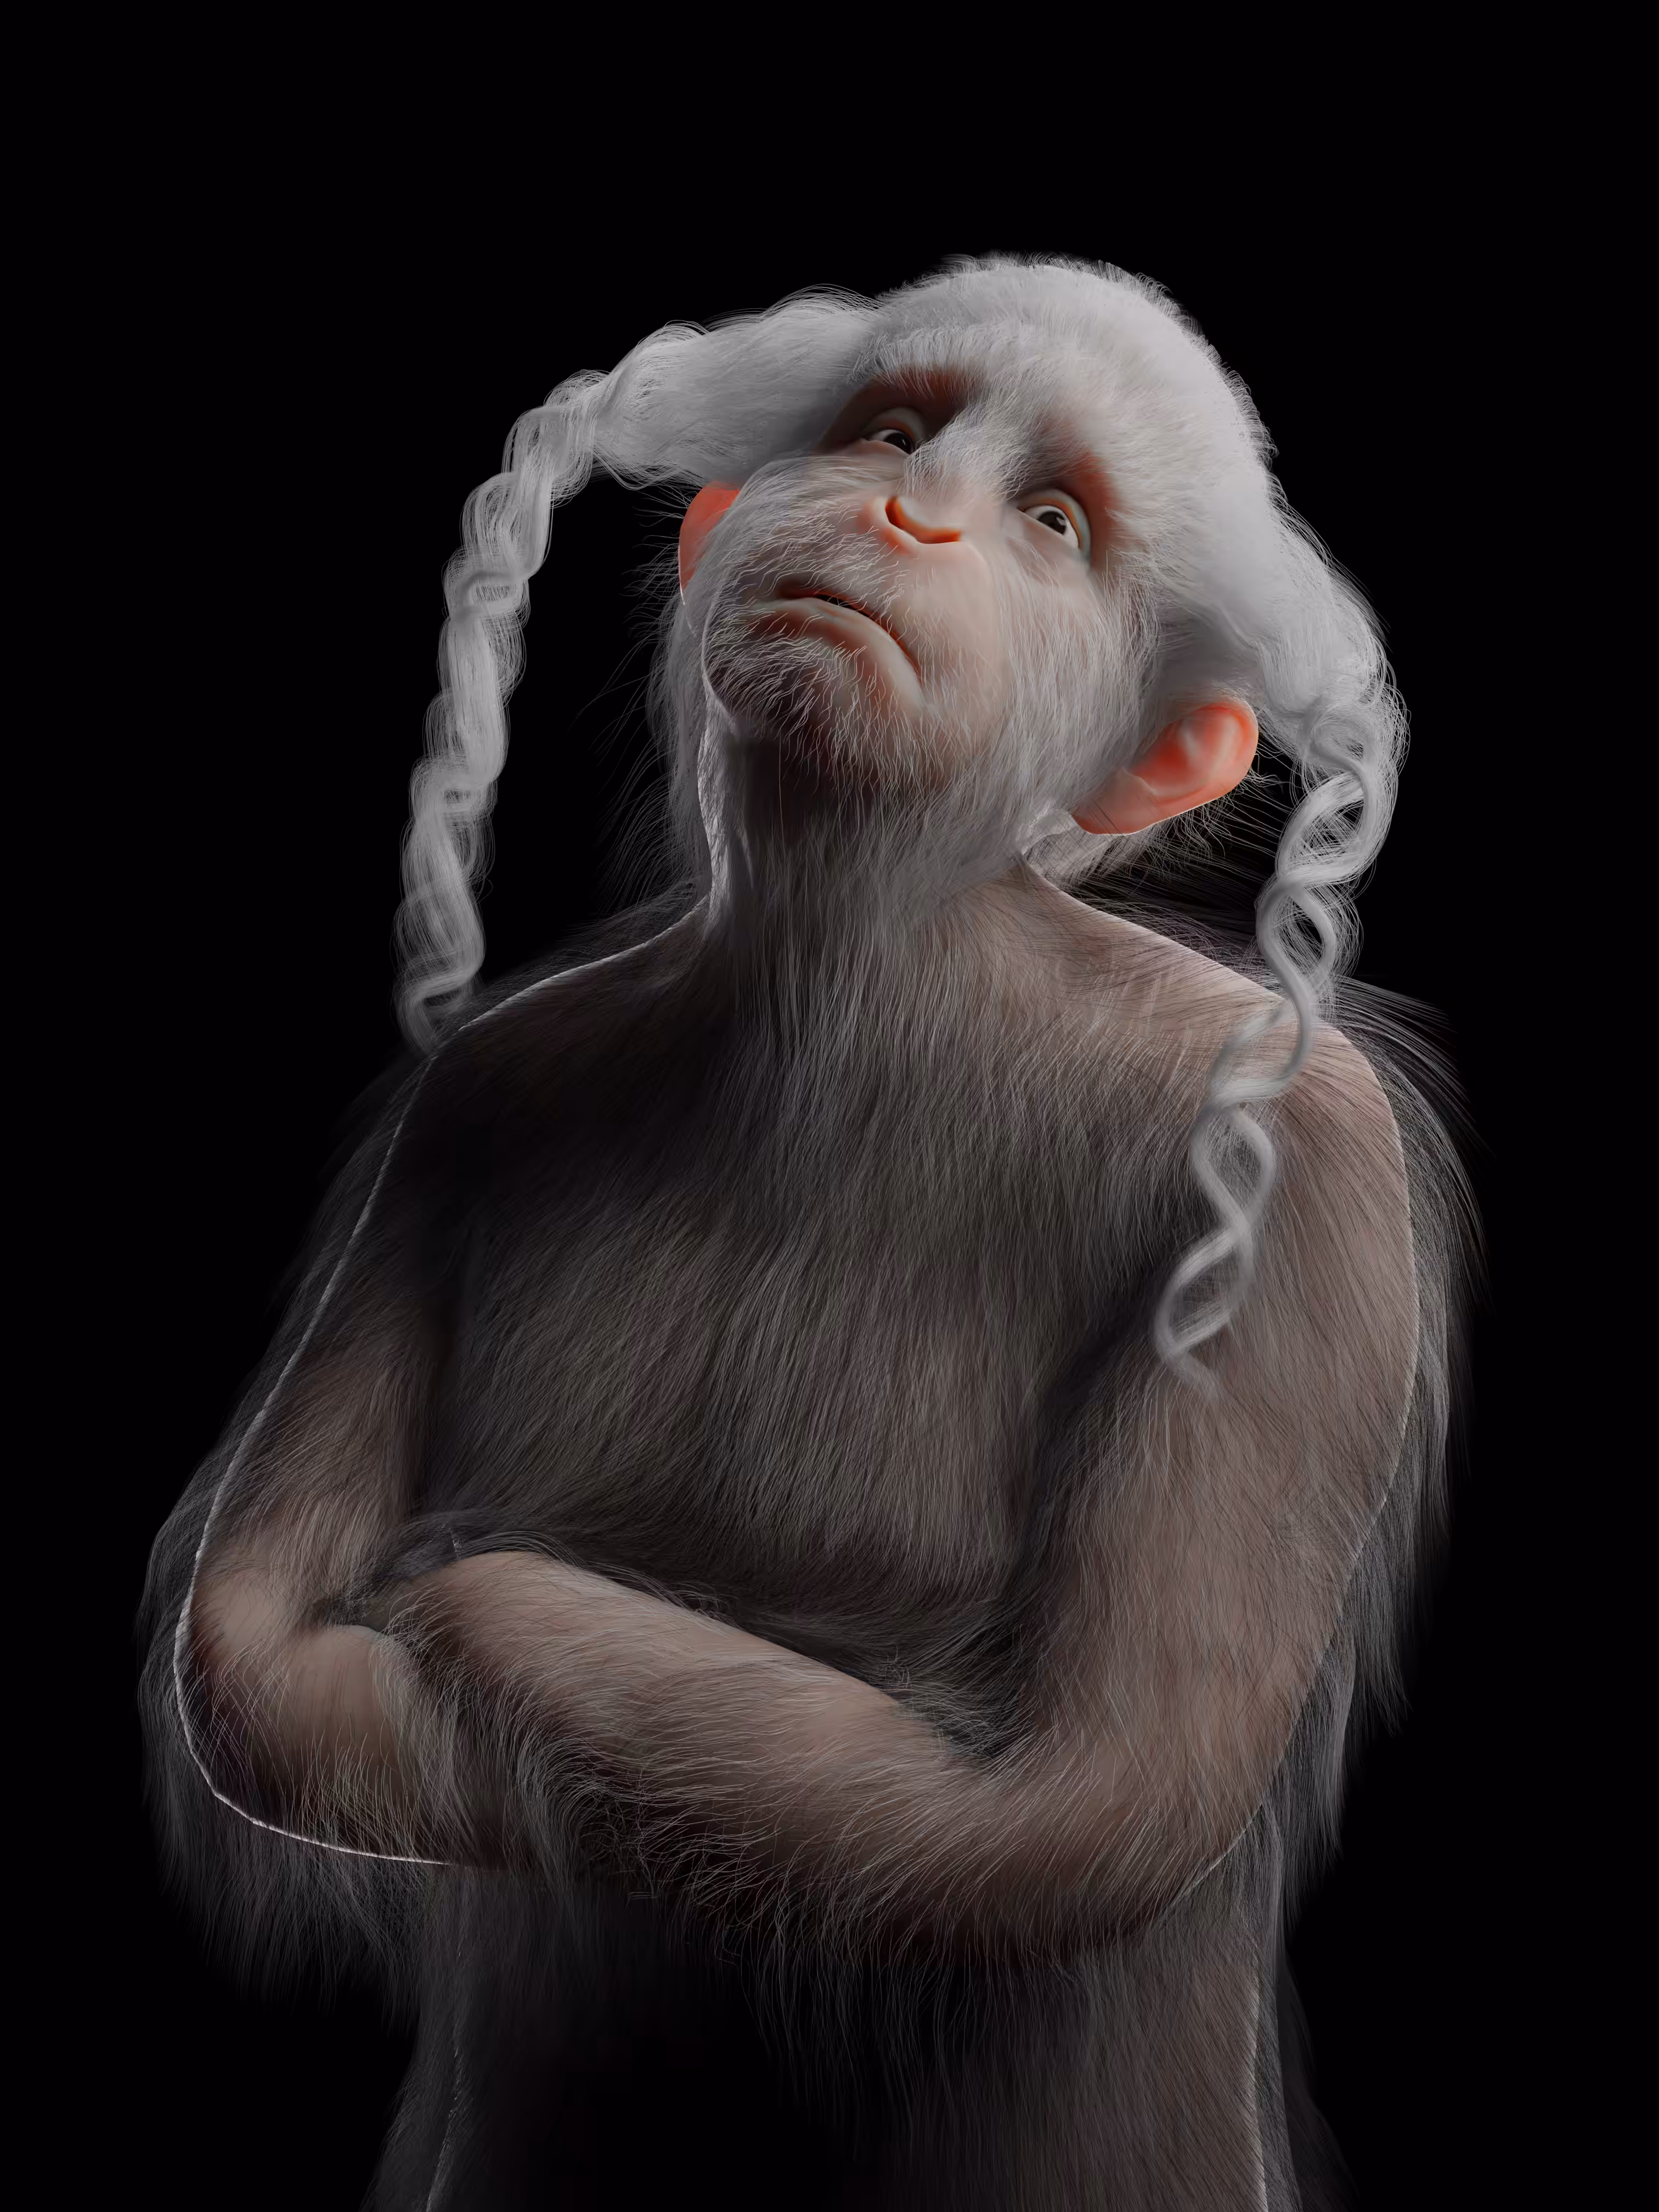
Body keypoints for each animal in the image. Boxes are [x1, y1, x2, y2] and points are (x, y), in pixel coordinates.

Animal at [139, 256, 1478, 2209]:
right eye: (896, 430)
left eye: (1056, 523)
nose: (912, 512)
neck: (845, 988)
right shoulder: (466, 1104)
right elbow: (253, 1645)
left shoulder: (1312, 1163)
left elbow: (1071, 1802)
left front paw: (467, 1615)